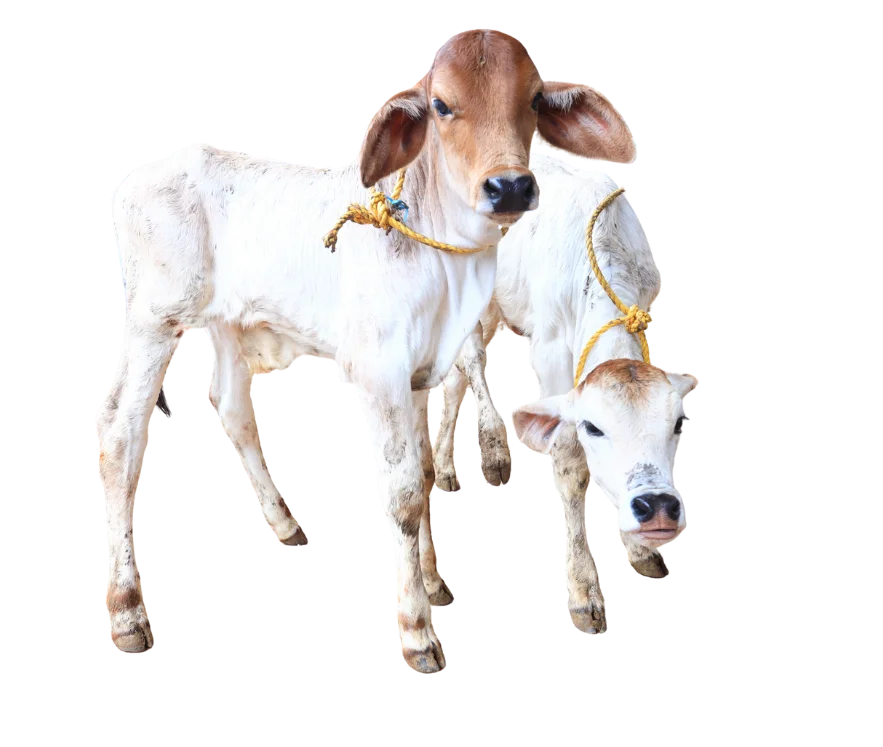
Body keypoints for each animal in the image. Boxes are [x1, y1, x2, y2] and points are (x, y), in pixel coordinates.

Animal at [99, 29, 634, 669]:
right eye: (441, 105)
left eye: (531, 99)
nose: (509, 187)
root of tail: (136, 178)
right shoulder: (380, 373)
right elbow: (402, 493)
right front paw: (419, 630)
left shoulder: (423, 372)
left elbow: (425, 473)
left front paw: (434, 580)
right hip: (151, 323)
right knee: (120, 440)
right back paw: (127, 612)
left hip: (225, 324)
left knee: (232, 412)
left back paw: (286, 524)